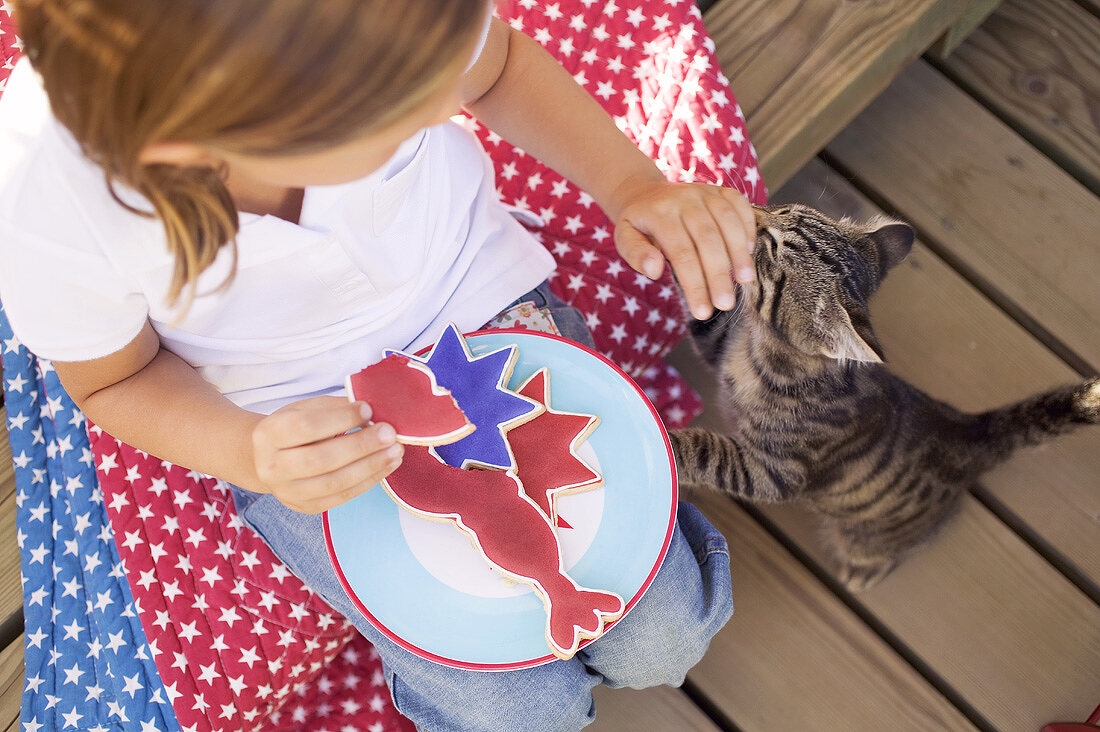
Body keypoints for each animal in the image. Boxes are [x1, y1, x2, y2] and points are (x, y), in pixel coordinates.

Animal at [673, 202, 1095, 590]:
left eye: (773, 244)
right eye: (784, 208)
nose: (753, 210)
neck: (755, 349)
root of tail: (968, 427)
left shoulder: (774, 472)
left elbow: (707, 452)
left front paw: (672, 446)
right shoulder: (717, 346)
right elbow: (704, 314)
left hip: (871, 535)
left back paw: (866, 570)